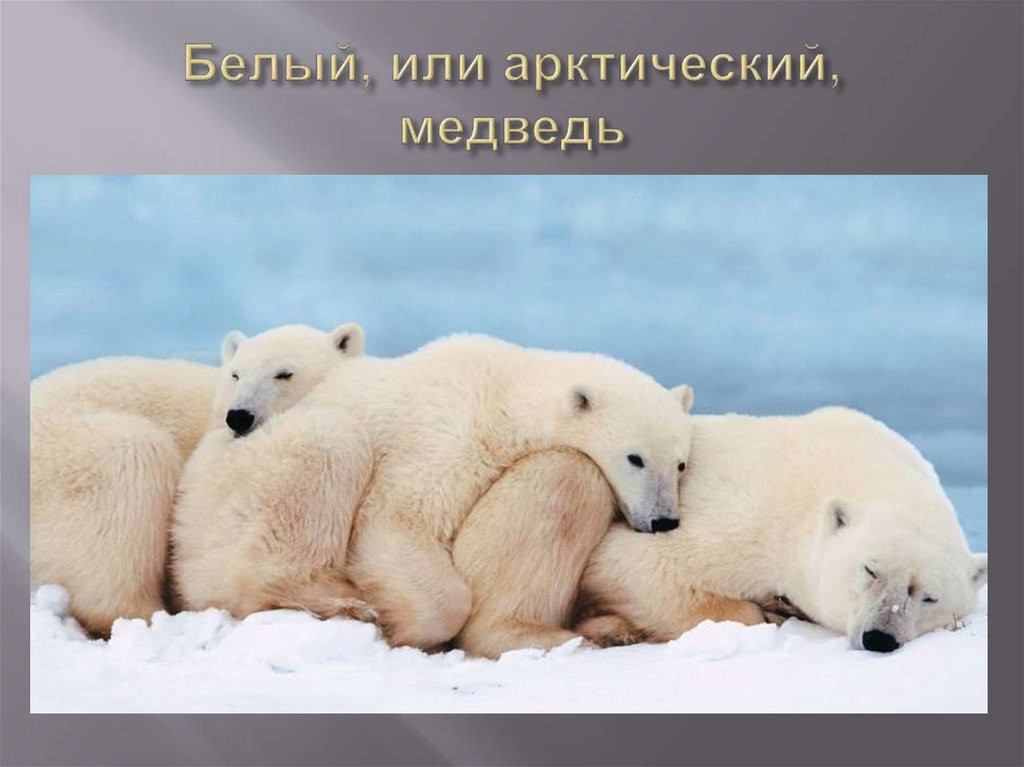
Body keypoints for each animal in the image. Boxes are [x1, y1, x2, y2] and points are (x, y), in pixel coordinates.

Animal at [170, 334, 695, 651]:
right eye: (635, 458)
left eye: (680, 463)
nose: (663, 520)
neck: (504, 389)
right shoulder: (448, 432)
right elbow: (398, 519)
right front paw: (406, 628)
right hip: (238, 491)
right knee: (329, 444)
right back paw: (339, 602)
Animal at [450, 403, 987, 655]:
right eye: (869, 570)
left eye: (928, 596)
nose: (880, 637)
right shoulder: (748, 515)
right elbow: (635, 566)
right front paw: (766, 609)